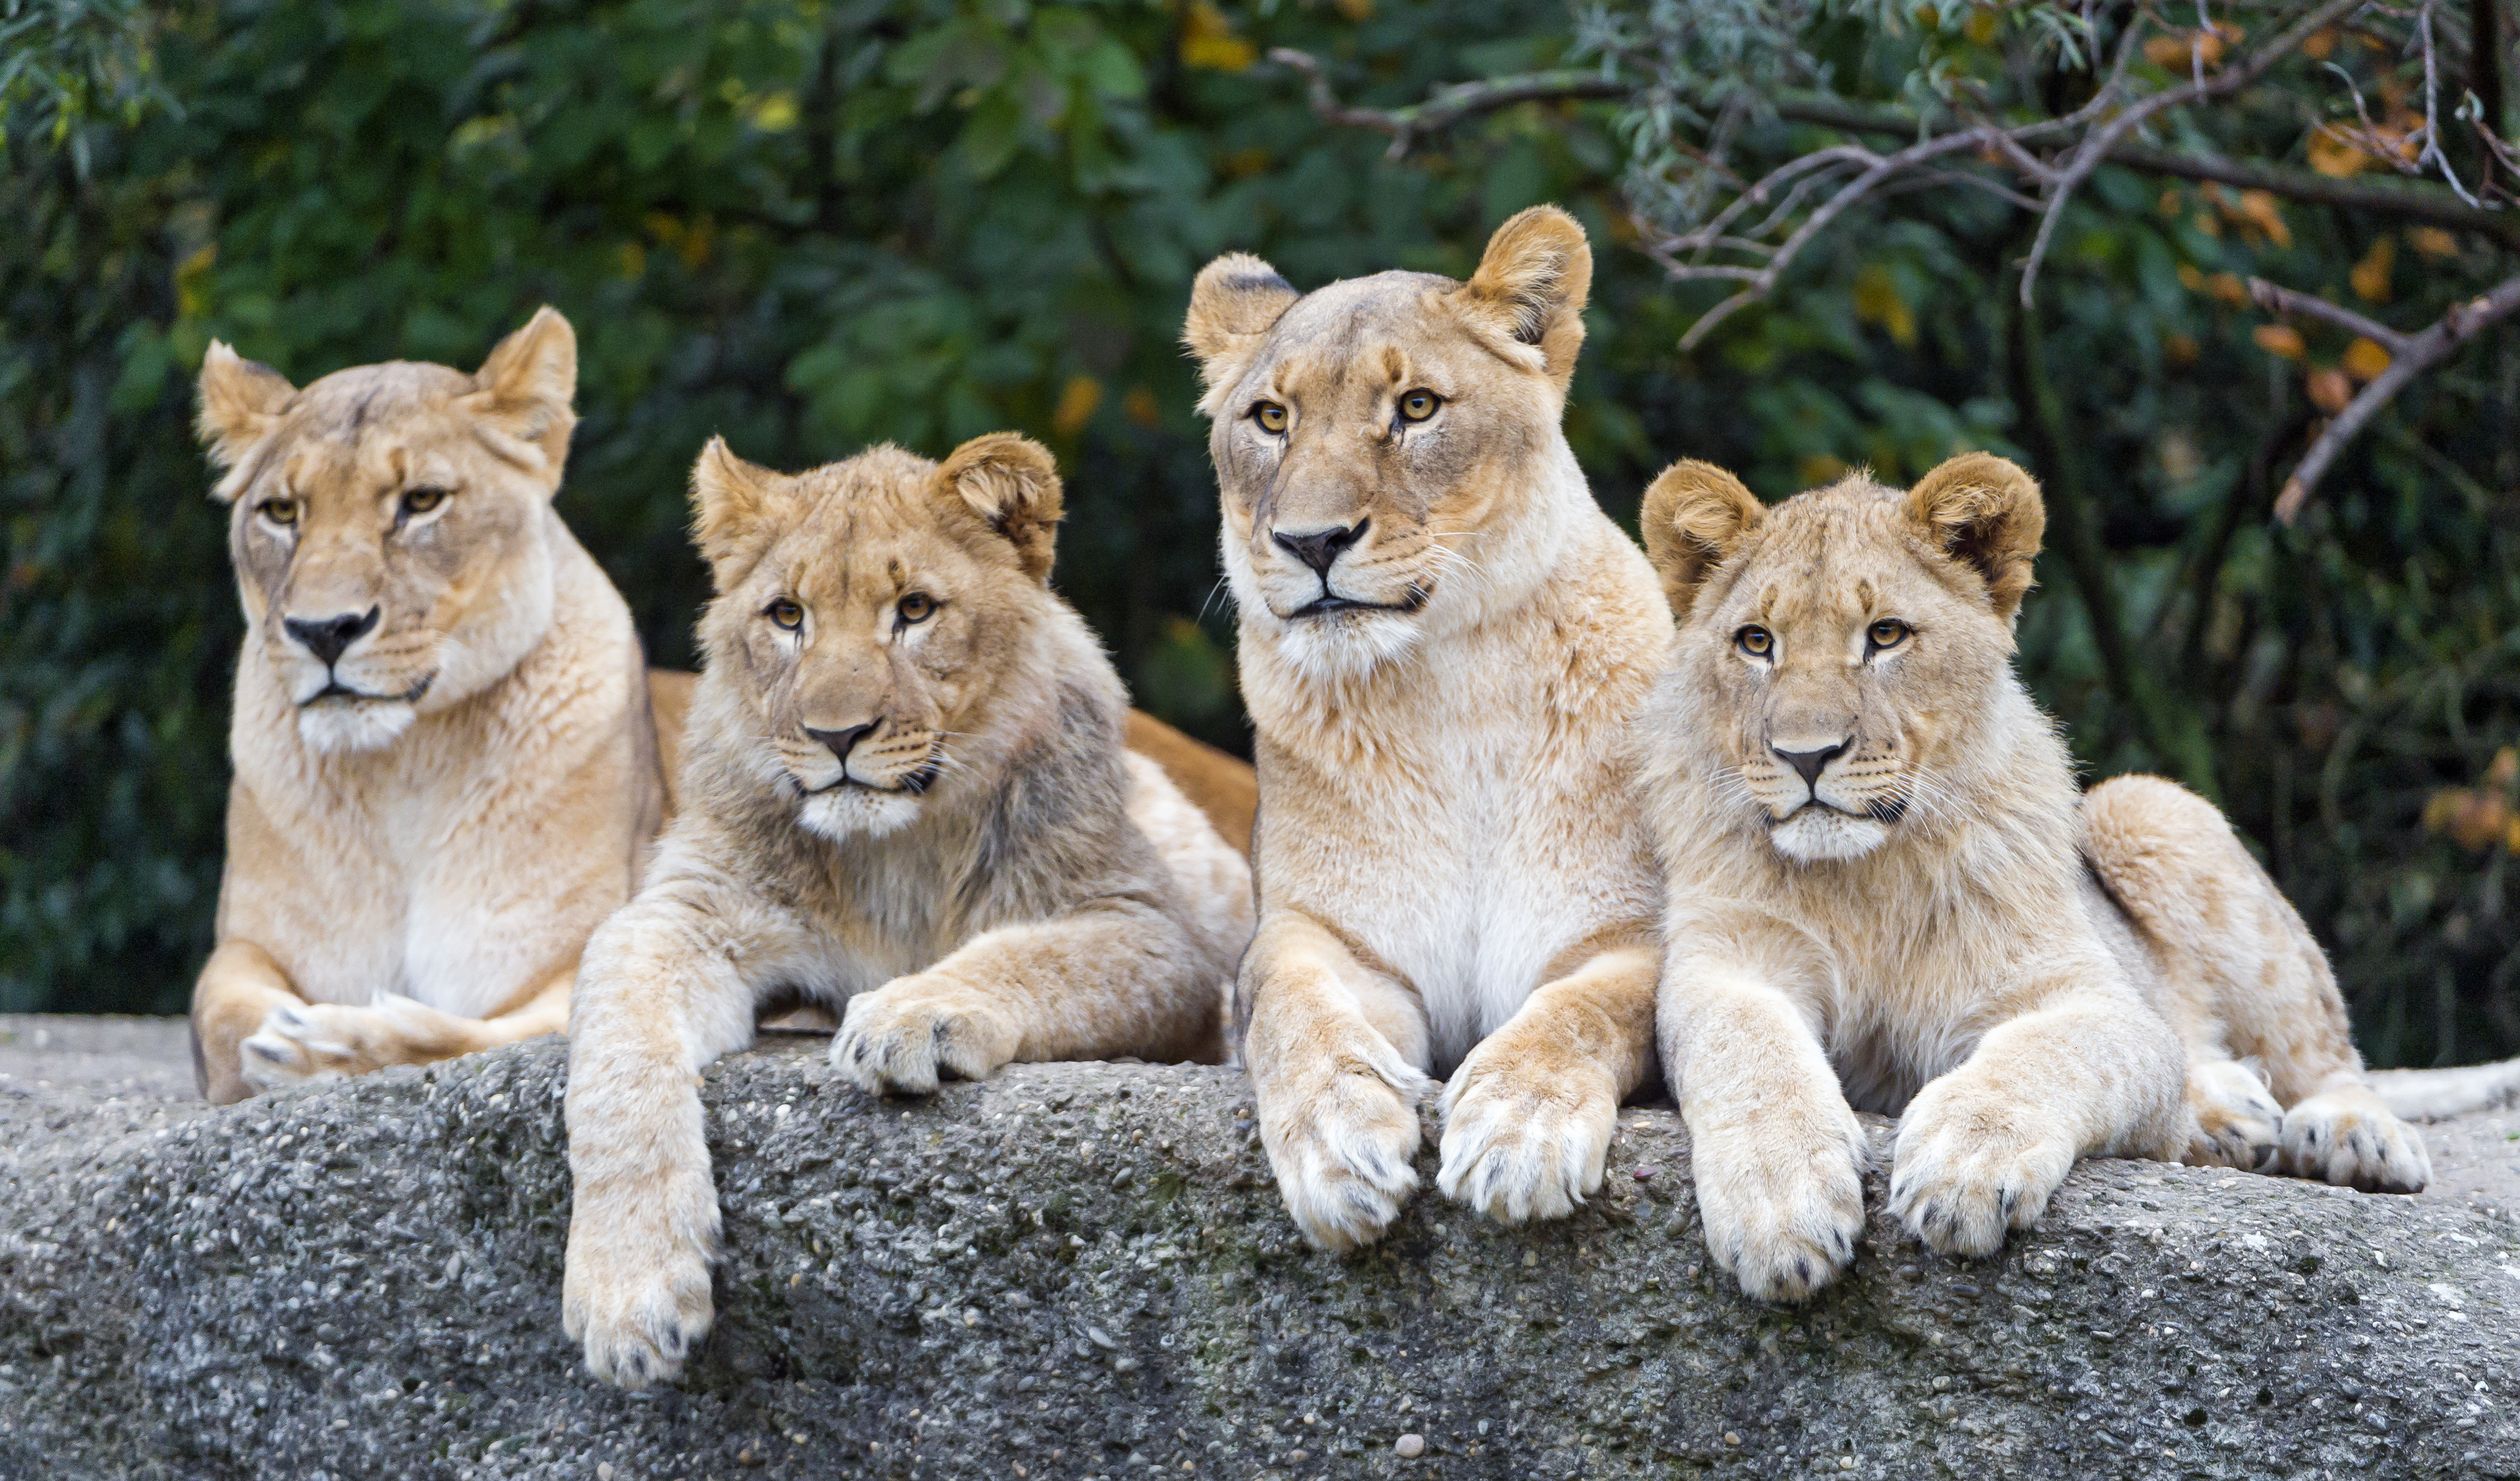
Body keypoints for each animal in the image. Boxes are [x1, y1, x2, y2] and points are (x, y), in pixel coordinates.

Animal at [186, 310, 675, 1098]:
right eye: (282, 512)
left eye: (420, 501)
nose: (324, 630)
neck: (406, 766)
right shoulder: (244, 945)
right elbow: (224, 1019)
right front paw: (287, 1040)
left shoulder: (593, 952)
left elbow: (489, 1036)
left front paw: (330, 1042)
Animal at [562, 430, 1249, 1390]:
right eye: (787, 616)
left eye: (915, 609)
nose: (836, 736)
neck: (893, 856)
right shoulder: (685, 911)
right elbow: (617, 1063)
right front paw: (629, 1292)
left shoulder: (1153, 934)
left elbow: (1027, 954)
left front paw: (907, 1017)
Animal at [1179, 205, 1673, 1249]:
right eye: (1271, 419)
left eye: (1415, 408)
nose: (1312, 542)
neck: (1449, 685)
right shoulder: (1324, 934)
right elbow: (1293, 1008)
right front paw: (1338, 1139)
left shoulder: (1632, 932)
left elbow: (1586, 1009)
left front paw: (1520, 1131)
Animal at [1623, 456, 2429, 1300]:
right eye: (1756, 641)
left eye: (1886, 635)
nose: (1806, 756)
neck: (1866, 878)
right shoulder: (1724, 964)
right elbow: (1747, 1053)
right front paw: (1782, 1205)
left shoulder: (2097, 1000)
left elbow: (2048, 1052)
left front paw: (1966, 1165)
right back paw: (2224, 1118)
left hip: (2146, 807)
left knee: (2326, 1052)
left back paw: (2351, 1134)